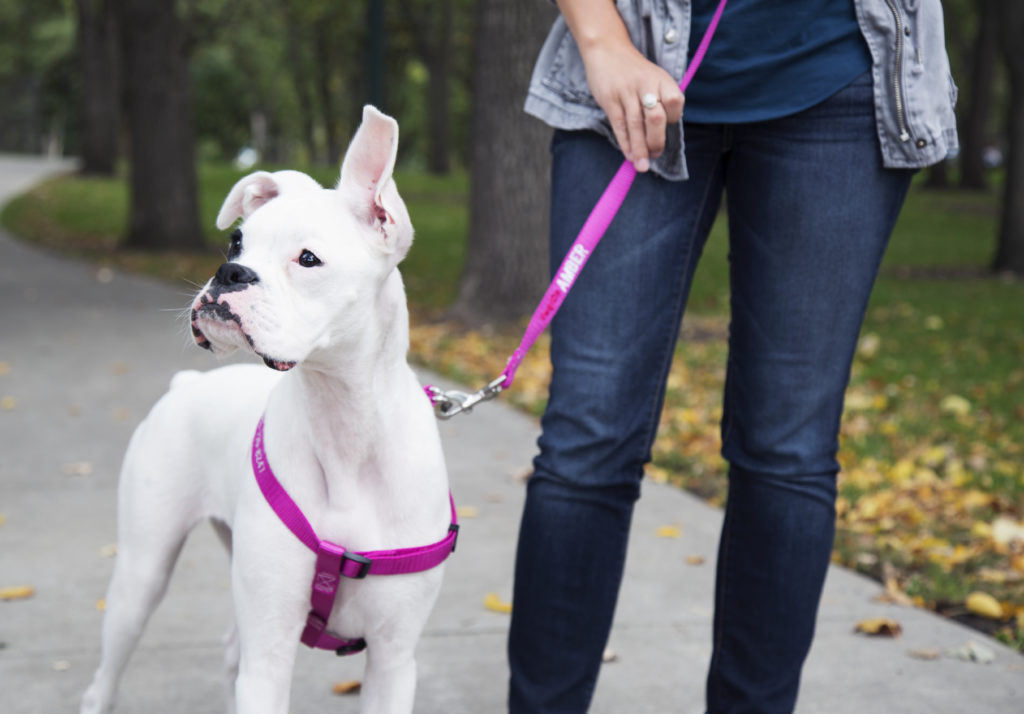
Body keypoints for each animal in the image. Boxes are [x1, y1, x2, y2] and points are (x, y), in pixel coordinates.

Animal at [86, 106, 454, 712]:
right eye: (236, 243)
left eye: (307, 259)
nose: (228, 274)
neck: (343, 422)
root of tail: (186, 385)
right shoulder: (271, 651)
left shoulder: (394, 660)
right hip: (140, 578)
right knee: (104, 678)